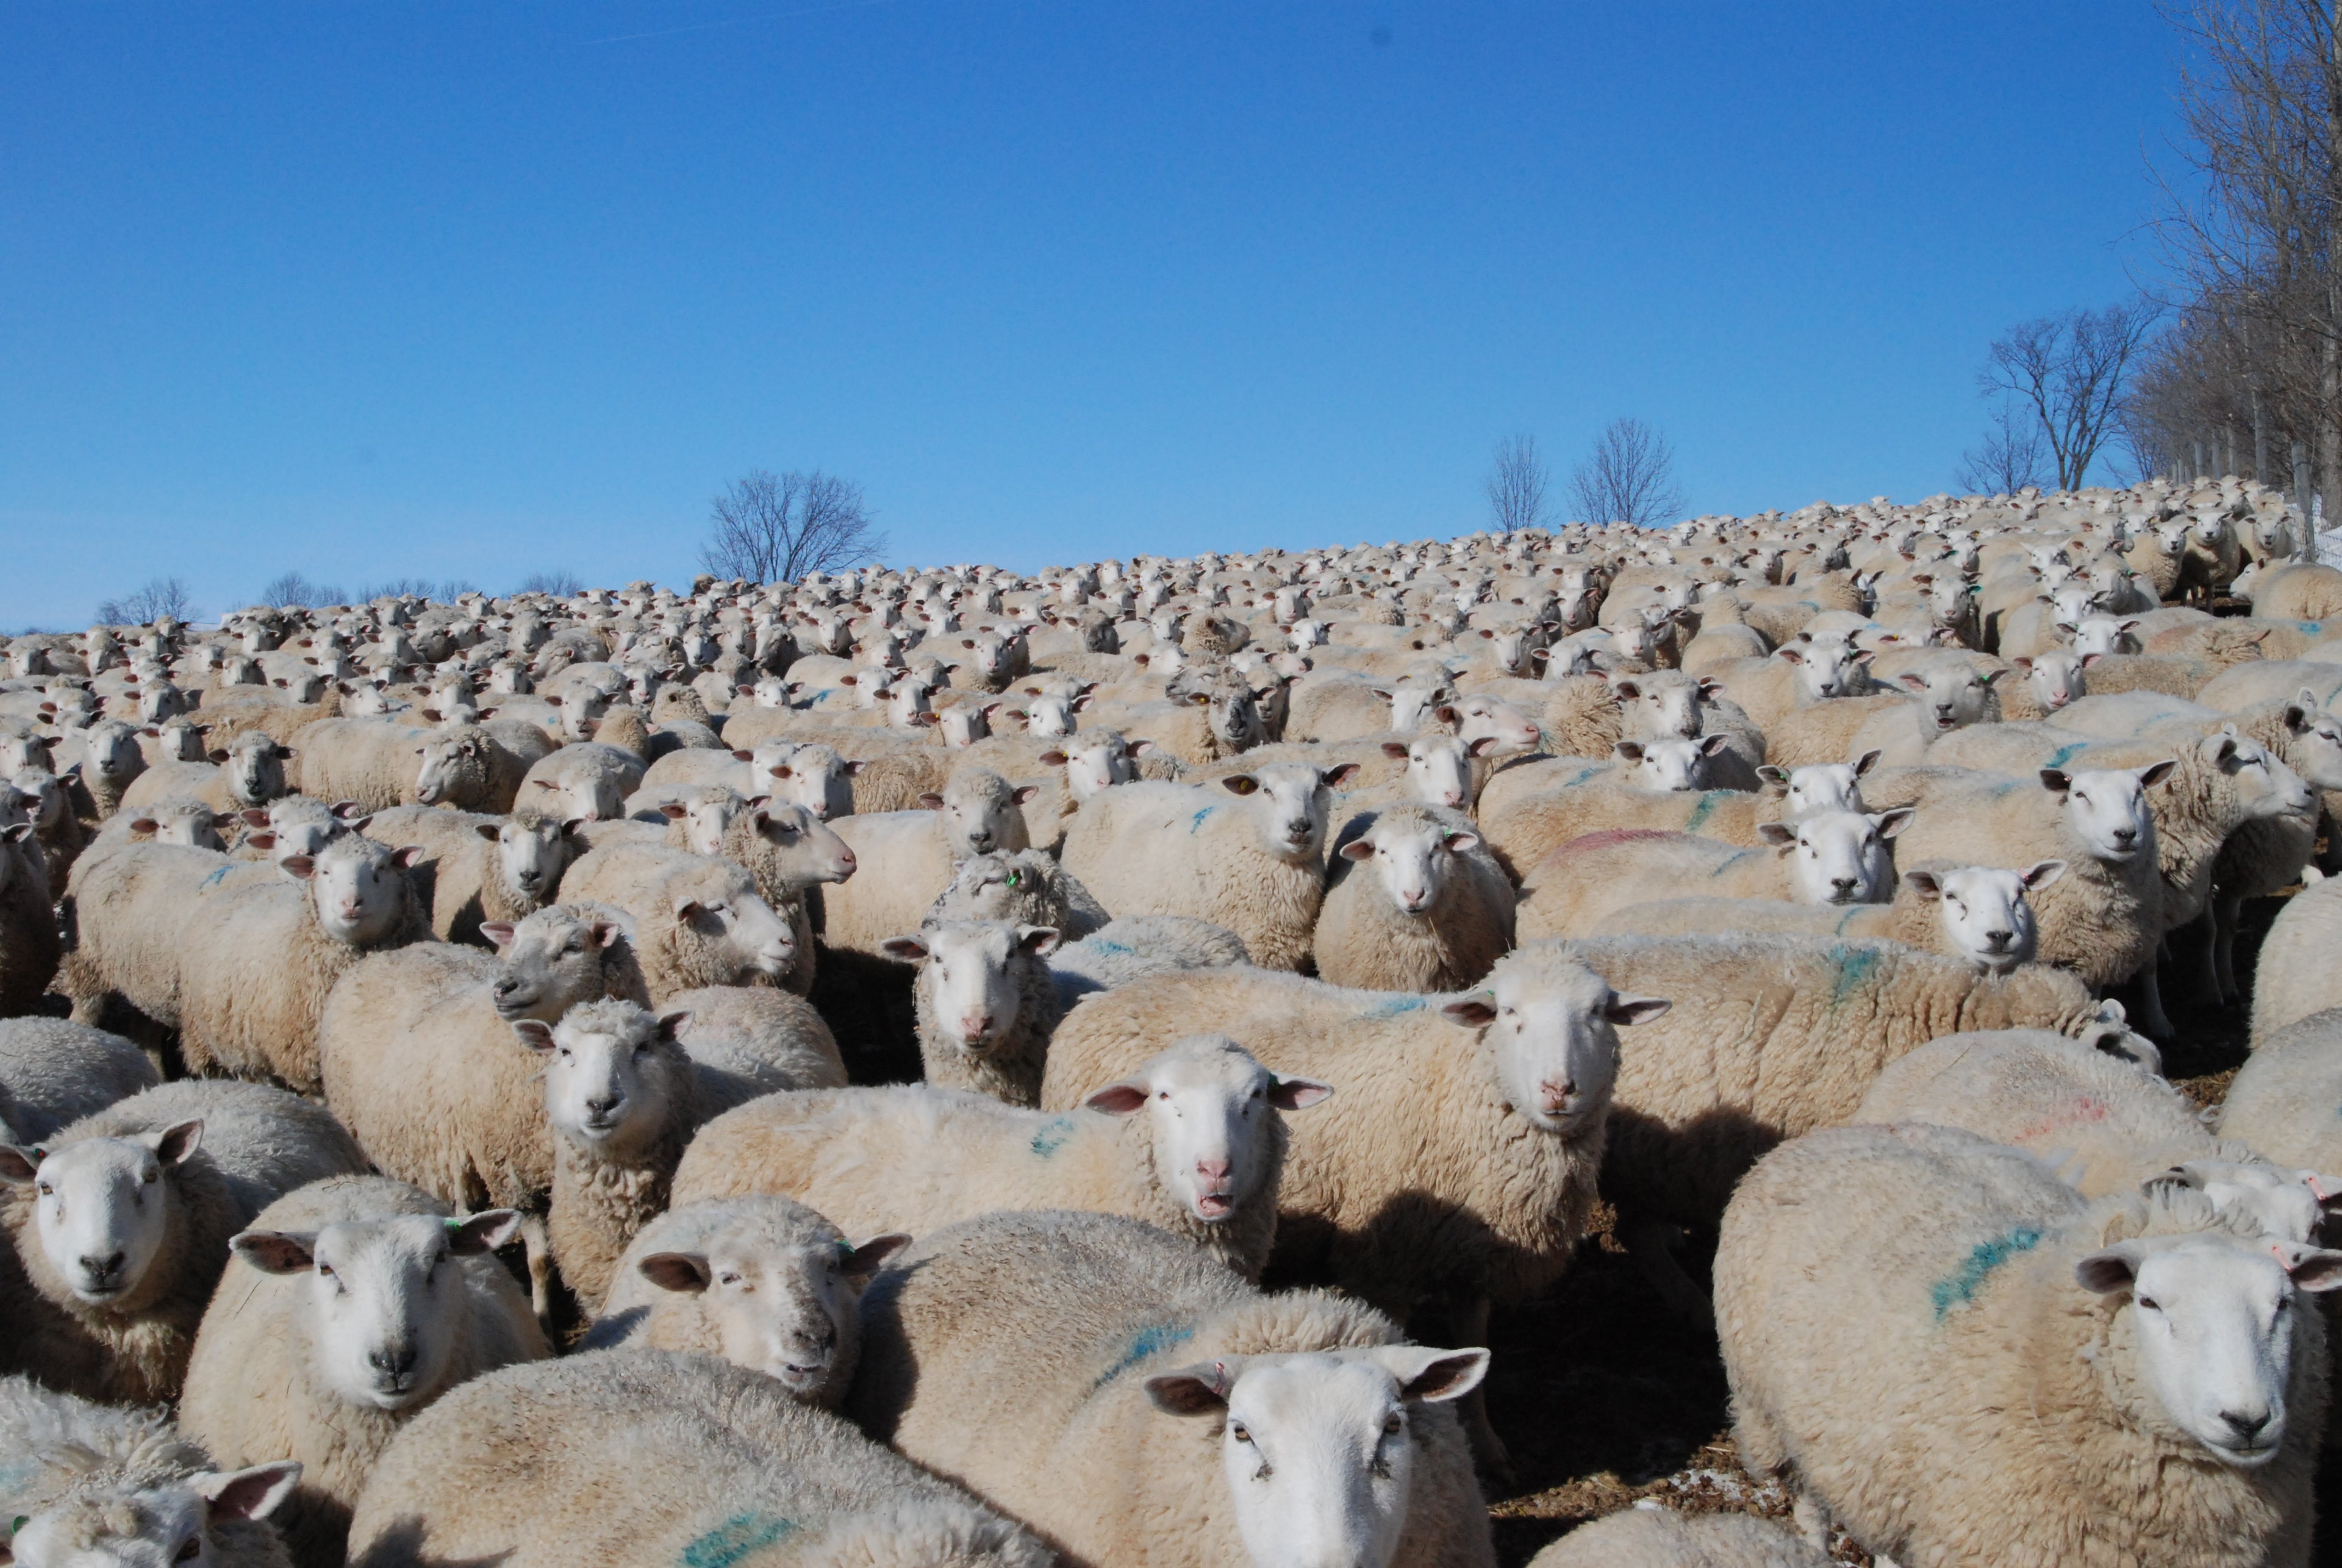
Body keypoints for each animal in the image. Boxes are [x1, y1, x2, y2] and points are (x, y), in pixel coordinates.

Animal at [1039, 946, 1666, 1469]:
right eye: (1509, 1011)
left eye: (1598, 1012)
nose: (1559, 1089)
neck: (1460, 1080)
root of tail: (1102, 999)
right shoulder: (1384, 1257)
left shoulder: (1473, 1255)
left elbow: (1475, 1351)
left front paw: (1486, 1444)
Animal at [1715, 1122, 2338, 1568]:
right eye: (2150, 1302)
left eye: (2283, 1303)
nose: (2247, 1418)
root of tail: (1837, 1130)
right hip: (1770, 1413)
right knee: (1809, 1501)